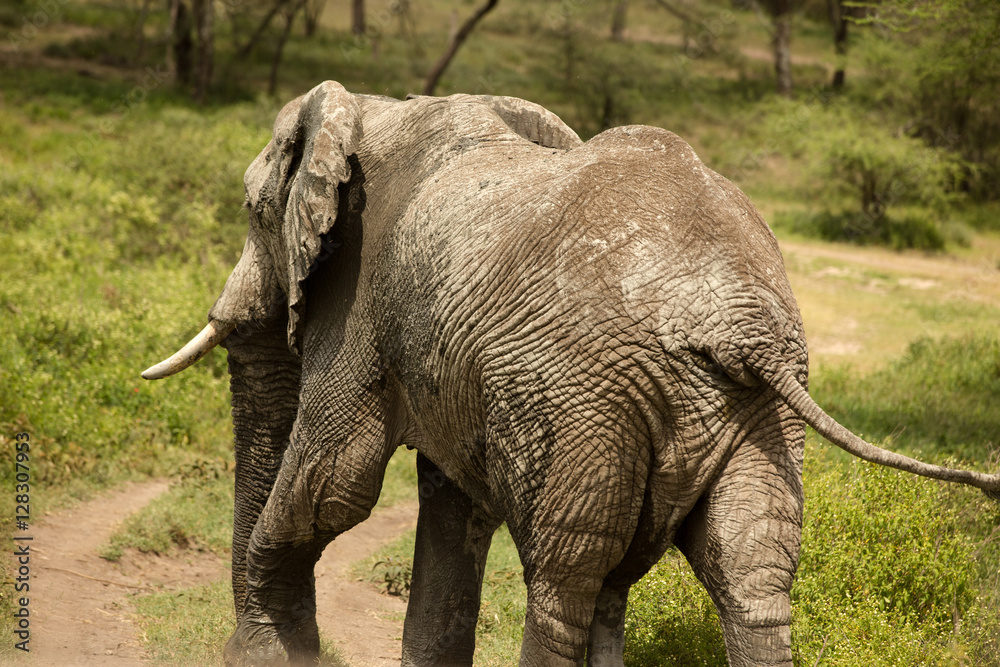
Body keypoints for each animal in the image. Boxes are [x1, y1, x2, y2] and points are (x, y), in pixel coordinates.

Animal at [142, 80, 999, 667]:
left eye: (253, 213)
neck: (374, 107)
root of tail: (735, 319)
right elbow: (451, 508)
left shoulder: (362, 299)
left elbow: (332, 483)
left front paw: (259, 658)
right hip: (754, 408)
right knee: (748, 571)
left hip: (586, 399)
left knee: (567, 574)